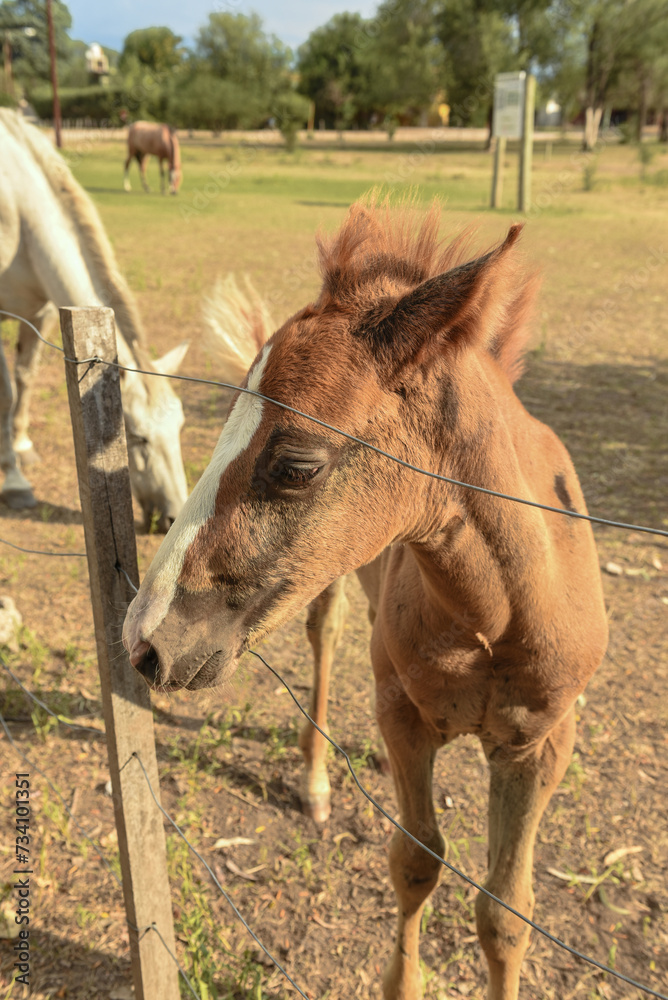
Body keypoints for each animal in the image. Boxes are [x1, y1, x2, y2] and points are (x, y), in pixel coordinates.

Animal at [0, 109, 189, 529]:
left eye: (180, 427)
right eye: (137, 438)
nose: (171, 517)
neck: (19, 209)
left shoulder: (40, 311)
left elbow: (25, 377)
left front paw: (21, 445)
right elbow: (5, 391)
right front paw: (14, 479)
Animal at [123, 202, 609, 1000]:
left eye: (296, 465)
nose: (145, 639)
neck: (498, 621)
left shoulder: (540, 744)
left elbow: (506, 910)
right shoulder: (405, 716)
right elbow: (415, 863)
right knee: (328, 634)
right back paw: (317, 783)